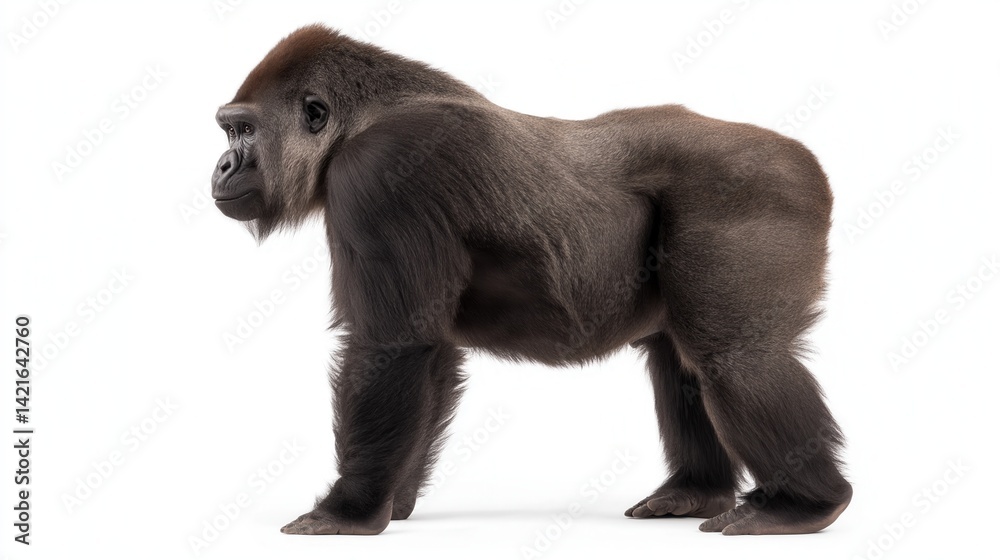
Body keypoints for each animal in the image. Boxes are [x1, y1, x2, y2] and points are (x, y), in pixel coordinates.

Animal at [211, 24, 852, 536]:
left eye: (243, 132)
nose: (221, 167)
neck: (363, 115)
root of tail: (808, 161)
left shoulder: (379, 172)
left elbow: (391, 345)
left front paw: (350, 507)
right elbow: (427, 353)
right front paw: (394, 498)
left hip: (760, 188)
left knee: (735, 358)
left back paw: (803, 505)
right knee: (681, 359)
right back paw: (697, 491)